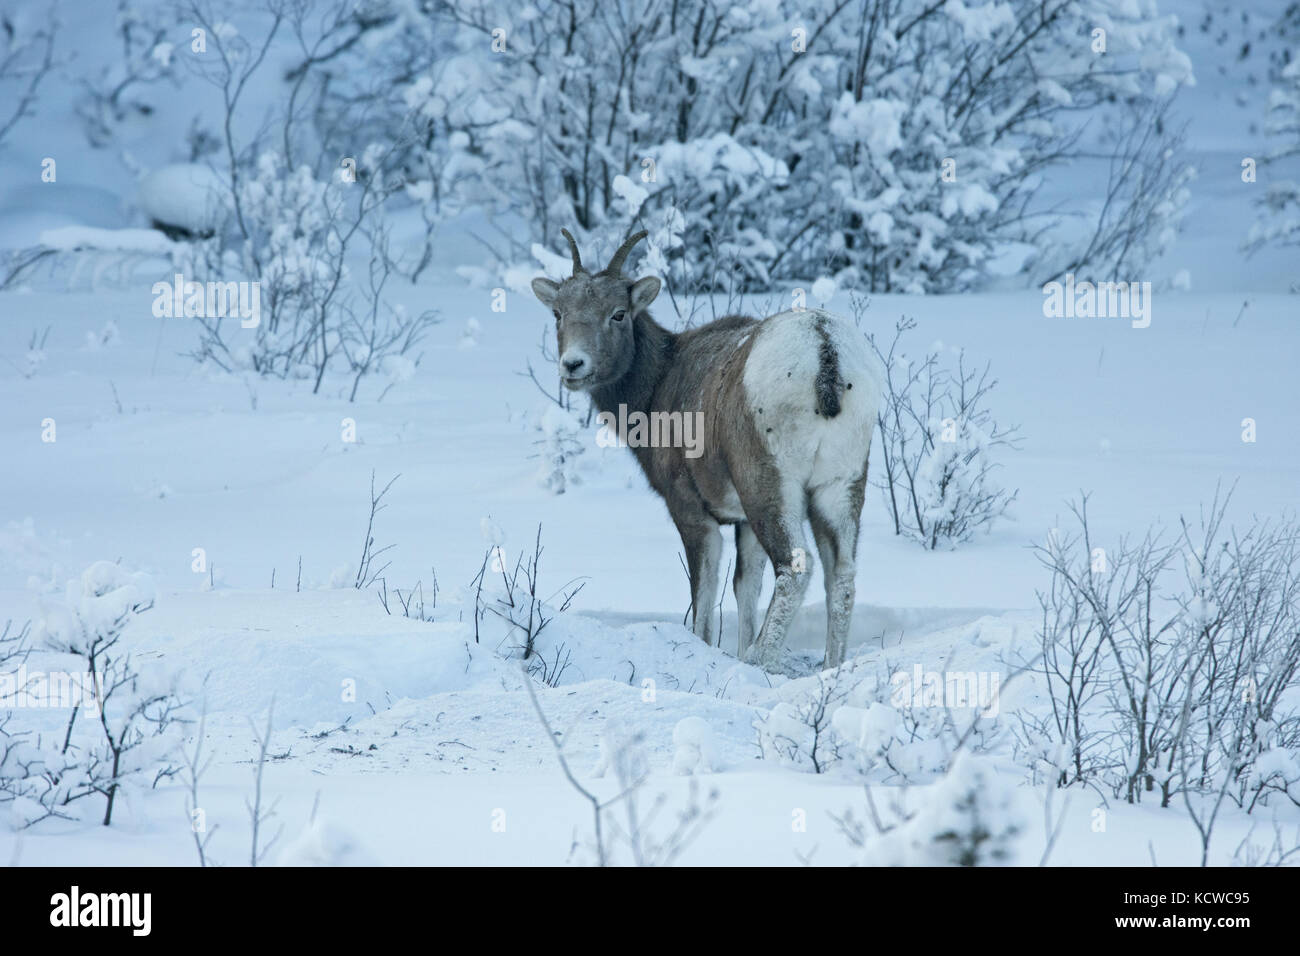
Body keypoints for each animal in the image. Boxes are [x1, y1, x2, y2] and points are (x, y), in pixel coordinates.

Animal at [530, 231, 883, 671]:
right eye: (558, 313)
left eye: (618, 314)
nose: (573, 365)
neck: (656, 390)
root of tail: (826, 354)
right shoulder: (743, 522)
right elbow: (745, 588)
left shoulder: (691, 508)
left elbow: (705, 592)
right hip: (841, 483)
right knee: (842, 575)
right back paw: (830, 665)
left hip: (769, 483)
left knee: (797, 567)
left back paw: (760, 661)